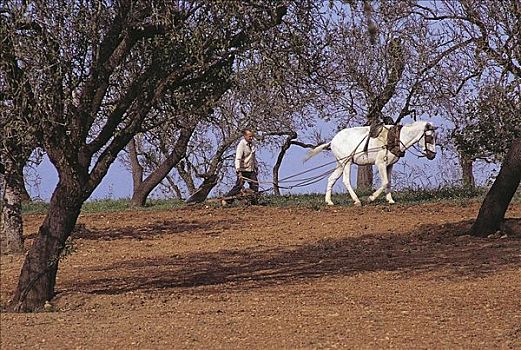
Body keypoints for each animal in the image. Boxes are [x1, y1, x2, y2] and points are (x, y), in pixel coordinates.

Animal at [304, 121, 434, 206]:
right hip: (346, 163)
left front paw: (390, 200)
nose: (433, 155)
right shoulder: (380, 163)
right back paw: (357, 200)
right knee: (346, 180)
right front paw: (371, 198)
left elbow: (389, 182)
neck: (395, 139)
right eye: (430, 138)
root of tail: (332, 141)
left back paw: (329, 201)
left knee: (331, 179)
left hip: (340, 163)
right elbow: (385, 182)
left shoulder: (389, 165)